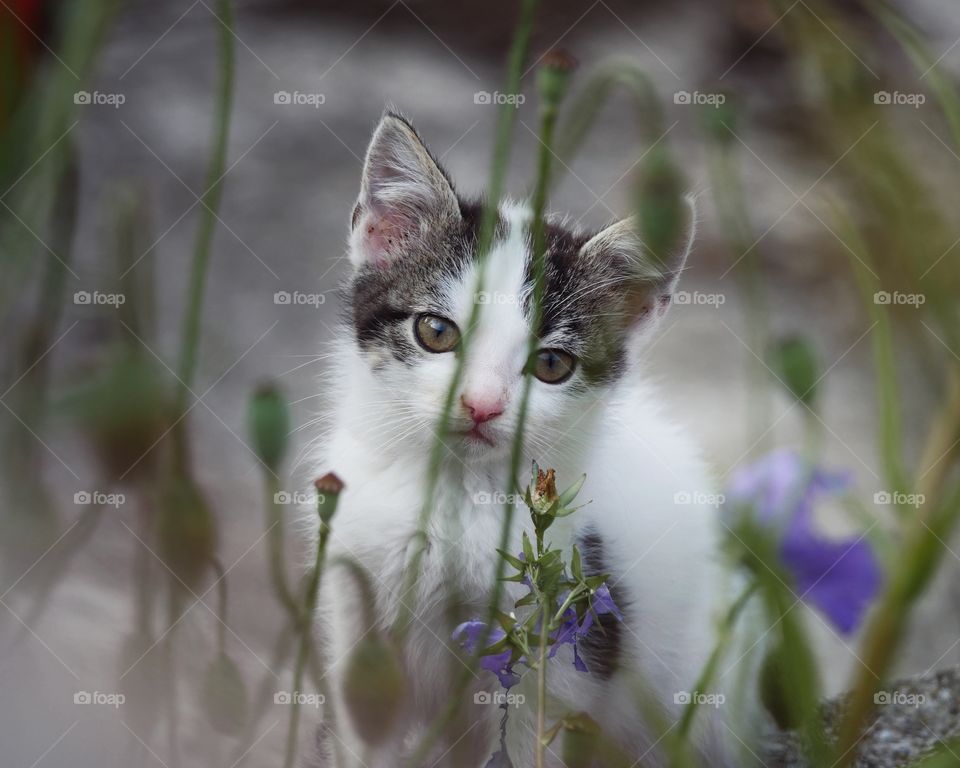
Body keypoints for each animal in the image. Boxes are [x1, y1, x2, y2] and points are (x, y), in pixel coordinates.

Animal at [312, 111, 748, 764]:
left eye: (551, 365)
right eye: (436, 332)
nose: (482, 405)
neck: (457, 495)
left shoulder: (565, 642)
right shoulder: (357, 612)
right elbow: (369, 730)